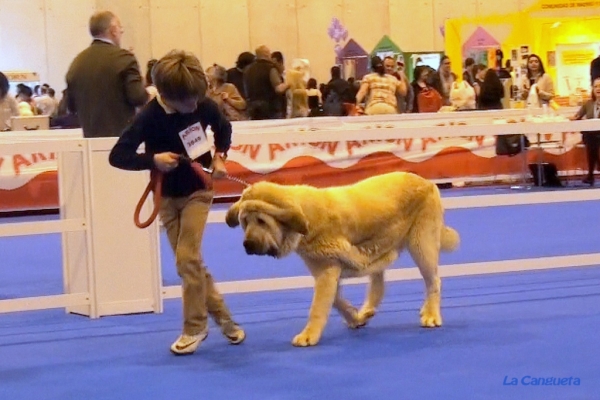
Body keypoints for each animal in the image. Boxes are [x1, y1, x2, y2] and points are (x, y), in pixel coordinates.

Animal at [225, 172, 460, 346]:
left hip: (422, 245)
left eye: (262, 221)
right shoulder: (325, 271)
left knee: (433, 281)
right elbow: (336, 301)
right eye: (244, 222)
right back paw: (368, 310)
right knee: (379, 284)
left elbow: (318, 307)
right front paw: (355, 318)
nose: (247, 245)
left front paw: (309, 335)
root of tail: (427, 182)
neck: (306, 221)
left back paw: (431, 313)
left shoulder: (327, 271)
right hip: (382, 245)